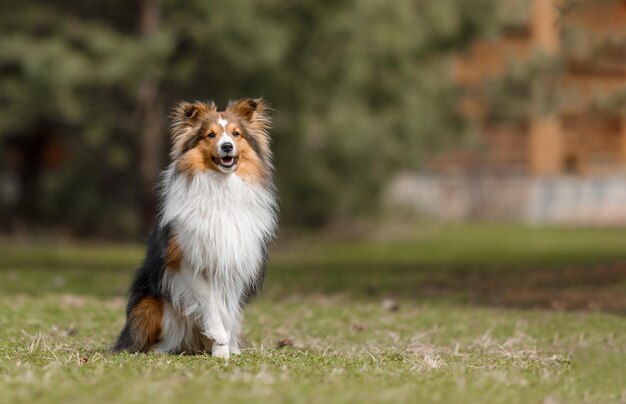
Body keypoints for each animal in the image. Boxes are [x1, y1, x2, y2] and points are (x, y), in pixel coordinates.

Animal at [112, 98, 278, 360]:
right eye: (211, 135)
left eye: (236, 134)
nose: (227, 147)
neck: (222, 189)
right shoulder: (186, 262)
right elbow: (209, 303)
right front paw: (218, 340)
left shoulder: (235, 262)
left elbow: (227, 311)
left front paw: (223, 349)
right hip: (152, 305)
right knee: (160, 341)